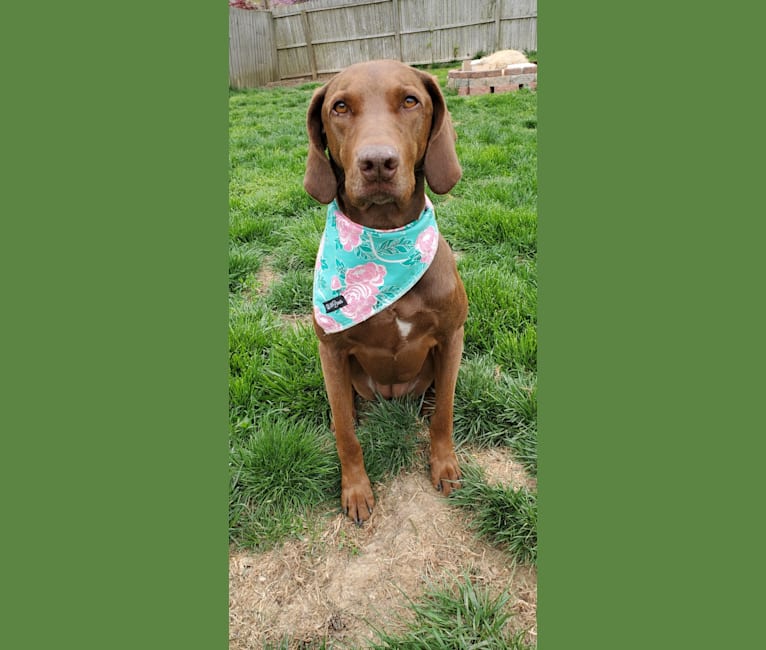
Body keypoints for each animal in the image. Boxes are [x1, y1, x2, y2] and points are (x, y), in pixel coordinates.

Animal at [306, 59, 468, 520]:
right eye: (340, 107)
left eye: (411, 100)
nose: (378, 162)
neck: (385, 243)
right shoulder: (331, 350)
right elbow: (346, 434)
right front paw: (356, 490)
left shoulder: (452, 335)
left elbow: (445, 413)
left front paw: (444, 465)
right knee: (346, 409)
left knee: (437, 394)